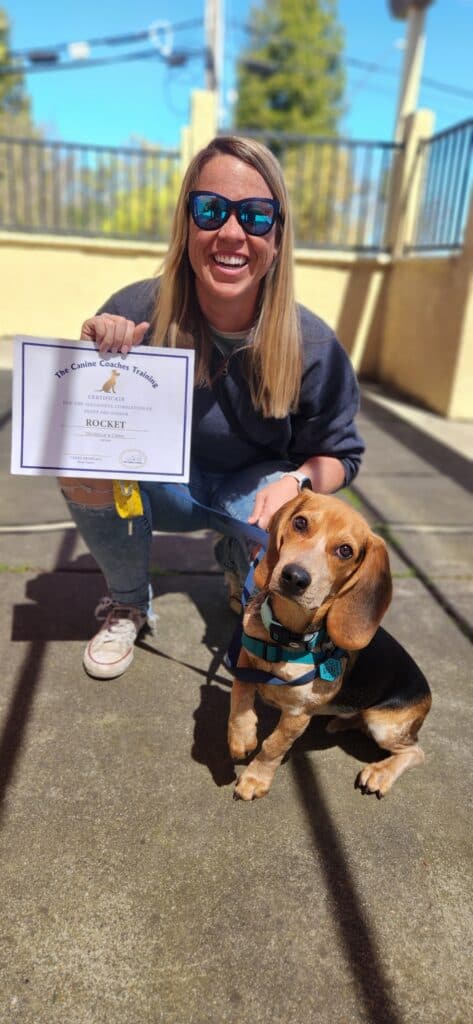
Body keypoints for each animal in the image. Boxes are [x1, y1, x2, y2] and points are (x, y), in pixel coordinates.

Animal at [229, 491, 432, 802]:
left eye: (345, 551)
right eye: (300, 523)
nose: (294, 577)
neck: (286, 634)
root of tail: (428, 694)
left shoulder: (297, 716)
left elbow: (274, 745)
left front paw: (255, 778)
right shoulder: (245, 658)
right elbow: (239, 694)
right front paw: (241, 737)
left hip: (384, 724)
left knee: (416, 751)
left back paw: (379, 773)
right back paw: (342, 721)